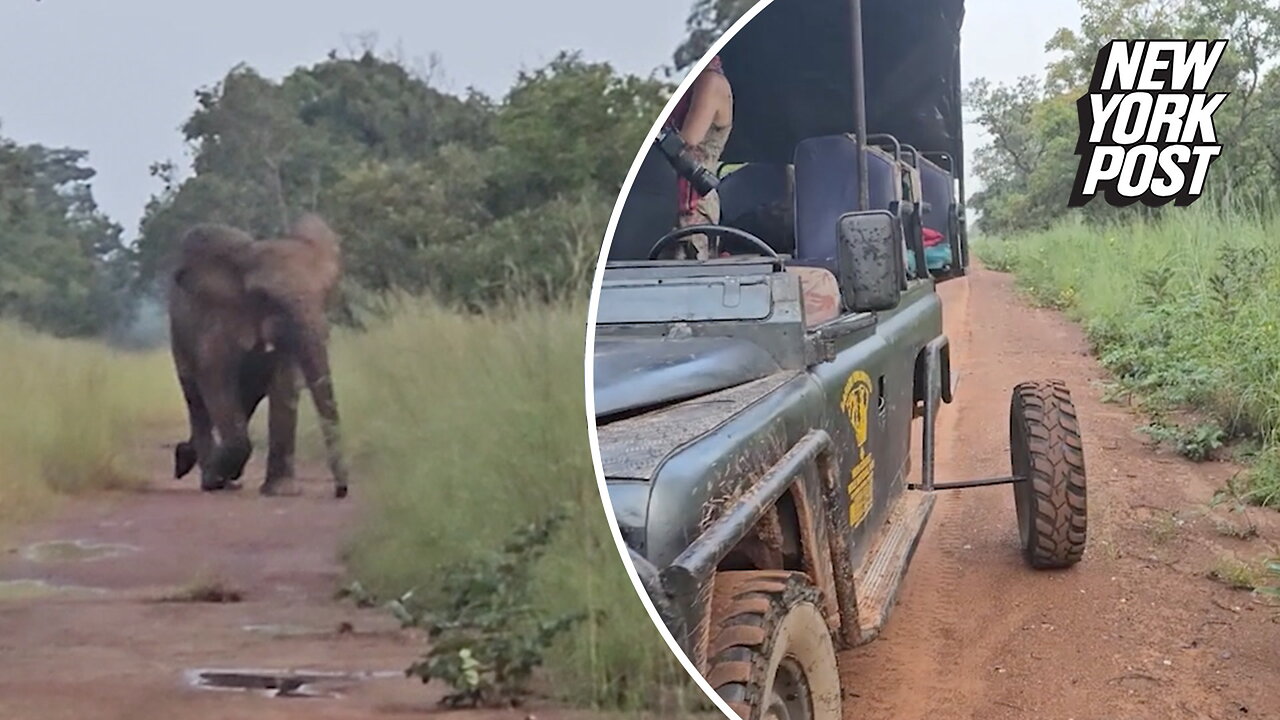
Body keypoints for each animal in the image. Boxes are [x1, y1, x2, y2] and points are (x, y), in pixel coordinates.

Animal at [170, 210, 353, 497]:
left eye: (325, 294)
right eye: (265, 298)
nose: (340, 491)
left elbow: (284, 384)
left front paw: (281, 491)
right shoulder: (217, 322)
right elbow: (216, 380)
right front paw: (218, 477)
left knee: (247, 398)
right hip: (179, 338)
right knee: (196, 398)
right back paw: (210, 477)